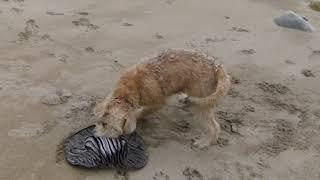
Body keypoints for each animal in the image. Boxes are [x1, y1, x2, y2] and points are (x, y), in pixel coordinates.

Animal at [94, 49, 231, 149]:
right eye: (103, 123)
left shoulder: (157, 102)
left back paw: (204, 142)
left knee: (214, 127)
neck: (129, 90)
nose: (100, 140)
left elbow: (143, 111)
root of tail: (217, 67)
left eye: (115, 129)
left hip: (200, 105)